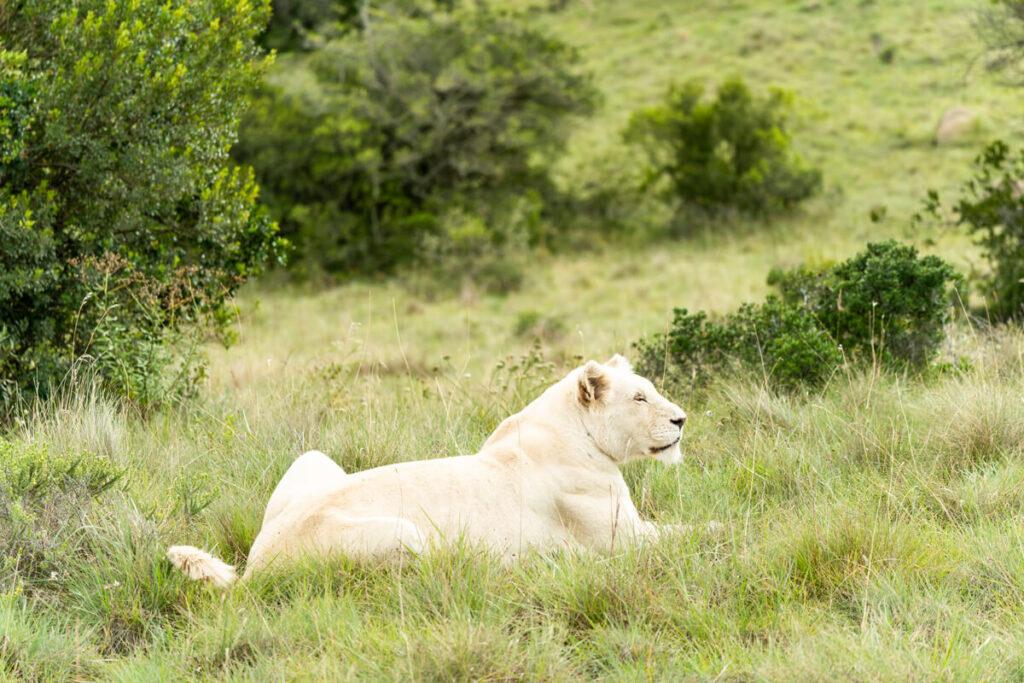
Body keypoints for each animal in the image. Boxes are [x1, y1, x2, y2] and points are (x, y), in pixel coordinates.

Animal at [167, 354, 688, 588]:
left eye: (649, 389)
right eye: (640, 397)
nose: (682, 419)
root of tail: (257, 563)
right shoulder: (624, 540)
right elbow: (694, 533)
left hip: (312, 458)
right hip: (404, 533)